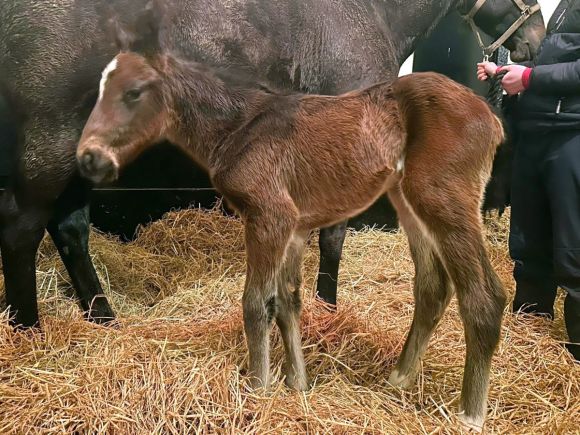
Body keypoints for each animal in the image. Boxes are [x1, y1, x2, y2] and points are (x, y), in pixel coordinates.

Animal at [76, 5, 502, 430]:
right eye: (99, 89)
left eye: (134, 92)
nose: (88, 158)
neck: (239, 126)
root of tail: (491, 117)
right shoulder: (294, 229)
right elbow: (286, 302)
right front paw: (297, 382)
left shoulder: (269, 217)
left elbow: (255, 302)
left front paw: (257, 389)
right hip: (408, 201)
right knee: (432, 287)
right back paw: (398, 378)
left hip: (443, 199)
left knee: (484, 294)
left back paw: (470, 414)